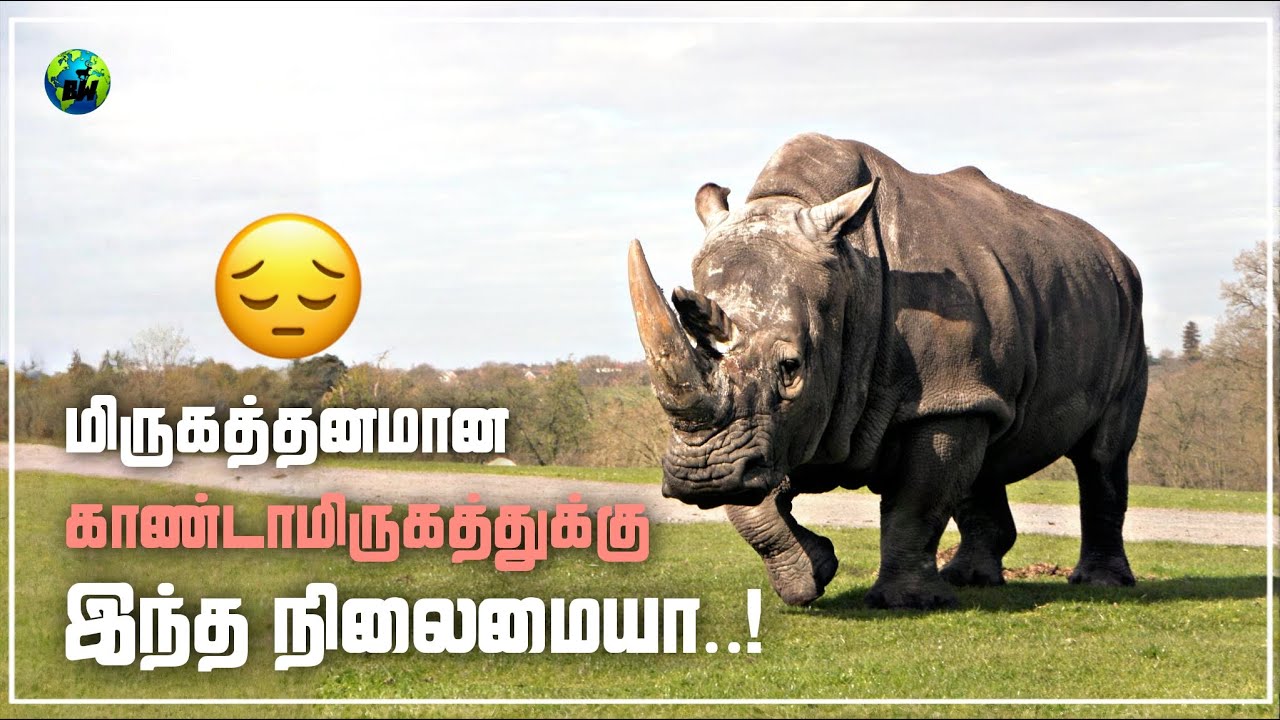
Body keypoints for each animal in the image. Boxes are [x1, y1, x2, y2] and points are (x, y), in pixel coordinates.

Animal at [627, 133, 1147, 610]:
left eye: (791, 368)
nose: (700, 475)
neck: (849, 279)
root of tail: (1114, 251)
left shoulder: (938, 399)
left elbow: (917, 502)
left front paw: (905, 602)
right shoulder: (763, 435)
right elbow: (749, 501)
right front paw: (810, 575)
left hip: (1125, 304)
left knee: (1102, 455)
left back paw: (1098, 585)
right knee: (987, 440)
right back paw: (970, 580)